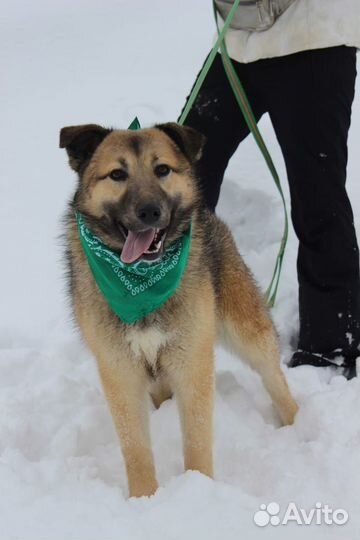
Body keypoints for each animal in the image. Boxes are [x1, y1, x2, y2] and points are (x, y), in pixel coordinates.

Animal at [60, 122, 298, 498]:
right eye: (117, 174)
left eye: (162, 170)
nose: (149, 211)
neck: (142, 285)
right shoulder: (120, 372)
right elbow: (136, 448)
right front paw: (145, 499)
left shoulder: (192, 362)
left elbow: (197, 440)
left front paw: (198, 489)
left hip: (247, 331)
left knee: (275, 379)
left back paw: (301, 427)